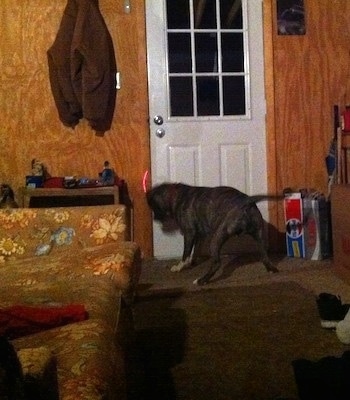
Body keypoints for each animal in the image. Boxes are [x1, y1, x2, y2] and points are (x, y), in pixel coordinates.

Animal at [146, 183, 280, 286]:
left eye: (153, 206)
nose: (154, 219)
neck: (177, 195)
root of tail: (246, 202)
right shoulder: (198, 236)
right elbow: (195, 251)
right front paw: (192, 262)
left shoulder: (189, 233)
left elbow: (185, 253)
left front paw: (179, 267)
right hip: (260, 236)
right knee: (264, 255)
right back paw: (271, 269)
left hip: (216, 238)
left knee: (216, 263)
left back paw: (201, 280)